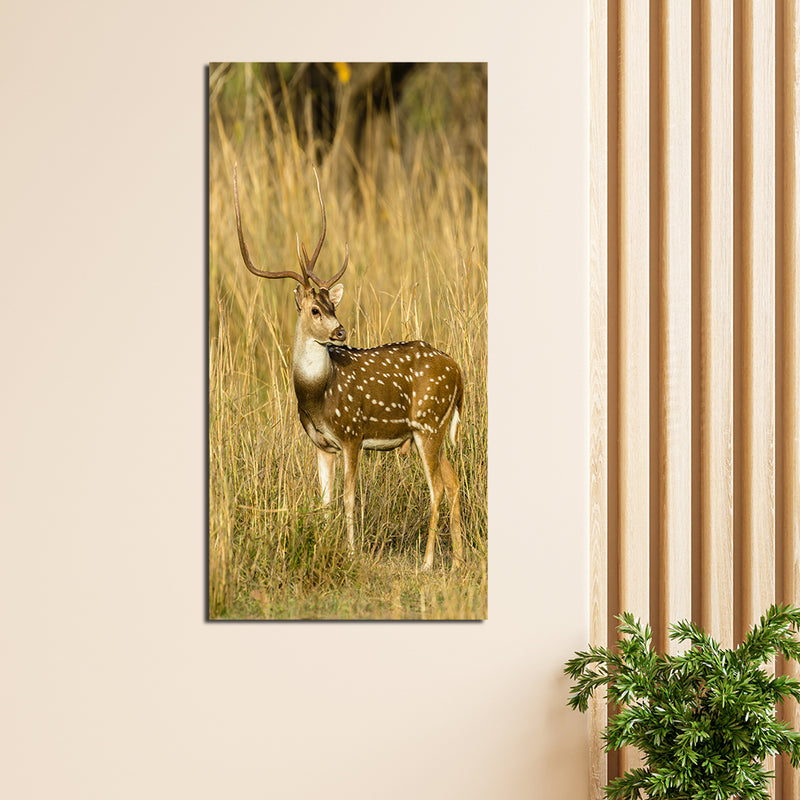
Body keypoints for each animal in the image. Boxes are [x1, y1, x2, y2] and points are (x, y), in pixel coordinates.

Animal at [233, 164, 464, 571]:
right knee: (452, 483)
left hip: (428, 422)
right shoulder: (321, 444)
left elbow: (350, 497)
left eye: (333, 305)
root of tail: (459, 373)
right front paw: (326, 544)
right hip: (433, 429)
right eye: (315, 309)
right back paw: (459, 560)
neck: (318, 396)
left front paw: (353, 553)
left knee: (437, 487)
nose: (340, 330)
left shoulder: (353, 433)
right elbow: (325, 501)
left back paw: (427, 563)